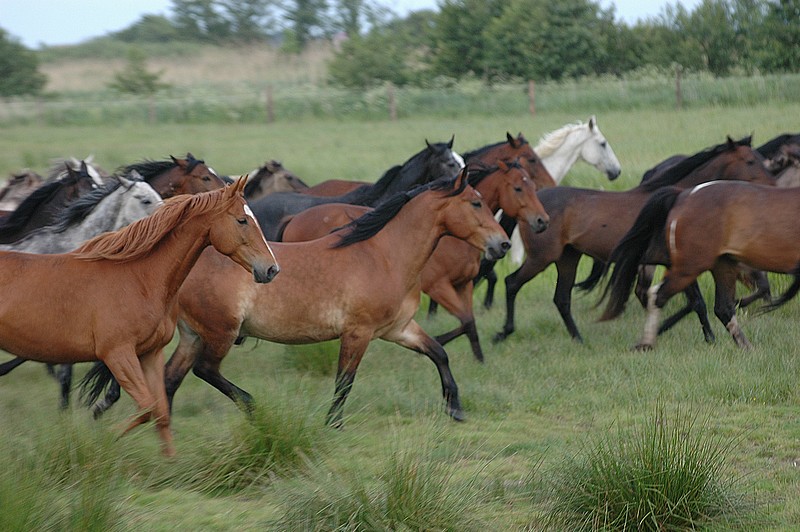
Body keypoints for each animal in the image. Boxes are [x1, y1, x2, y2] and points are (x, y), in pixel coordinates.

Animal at [0, 177, 278, 456]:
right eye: (242, 220)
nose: (271, 269)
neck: (137, 277)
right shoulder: (117, 354)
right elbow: (146, 408)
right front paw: (98, 438)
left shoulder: (150, 353)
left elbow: (161, 412)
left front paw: (171, 464)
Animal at [89, 168, 512, 426]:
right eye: (476, 202)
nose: (504, 244)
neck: (384, 254)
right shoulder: (358, 333)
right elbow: (344, 381)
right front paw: (332, 423)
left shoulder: (399, 329)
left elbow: (439, 353)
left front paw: (455, 408)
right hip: (220, 332)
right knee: (204, 371)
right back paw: (251, 407)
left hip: (194, 335)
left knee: (172, 379)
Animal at [490, 137, 780, 342]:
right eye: (750, 161)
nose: (774, 187)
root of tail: (534, 207)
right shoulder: (679, 264)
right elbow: (694, 302)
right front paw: (693, 335)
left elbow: (692, 302)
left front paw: (697, 335)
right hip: (542, 257)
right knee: (512, 283)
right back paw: (503, 332)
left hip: (568, 257)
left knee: (561, 298)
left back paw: (579, 339)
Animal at [596, 181, 800, 352]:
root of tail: (684, 195)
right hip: (690, 267)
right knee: (658, 294)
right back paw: (646, 343)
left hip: (723, 265)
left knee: (723, 308)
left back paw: (747, 348)